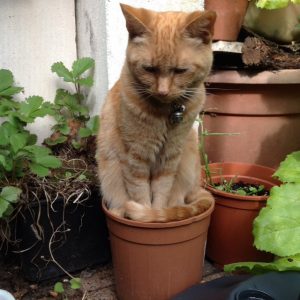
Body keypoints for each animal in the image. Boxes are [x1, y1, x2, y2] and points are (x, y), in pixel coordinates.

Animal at [97, 3, 217, 221]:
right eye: (149, 69)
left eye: (180, 70)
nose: (163, 91)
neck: (166, 114)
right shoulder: (135, 157)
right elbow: (140, 192)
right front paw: (144, 215)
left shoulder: (171, 157)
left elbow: (162, 192)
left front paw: (155, 215)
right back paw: (120, 211)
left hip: (188, 159)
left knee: (179, 200)